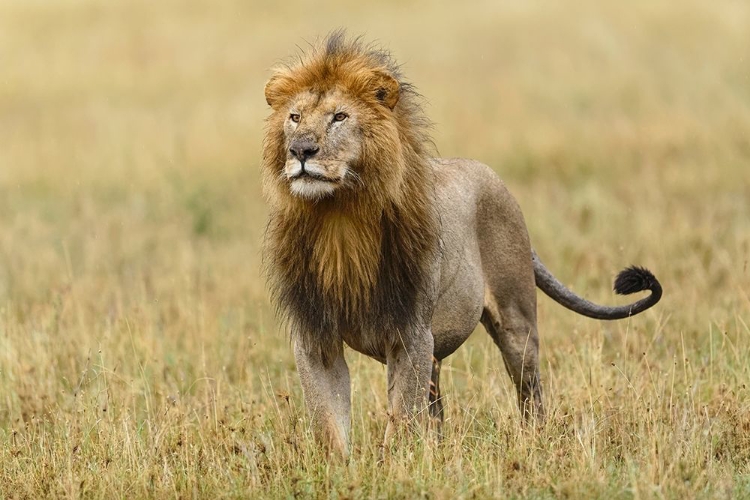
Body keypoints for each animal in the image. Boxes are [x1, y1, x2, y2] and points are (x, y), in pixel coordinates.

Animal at [262, 32, 664, 458]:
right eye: (295, 118)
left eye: (339, 117)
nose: (301, 150)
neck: (339, 218)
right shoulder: (316, 337)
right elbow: (328, 423)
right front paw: (342, 468)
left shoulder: (410, 334)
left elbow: (401, 416)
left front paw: (392, 464)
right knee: (436, 408)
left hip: (516, 319)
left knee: (529, 390)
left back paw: (534, 439)